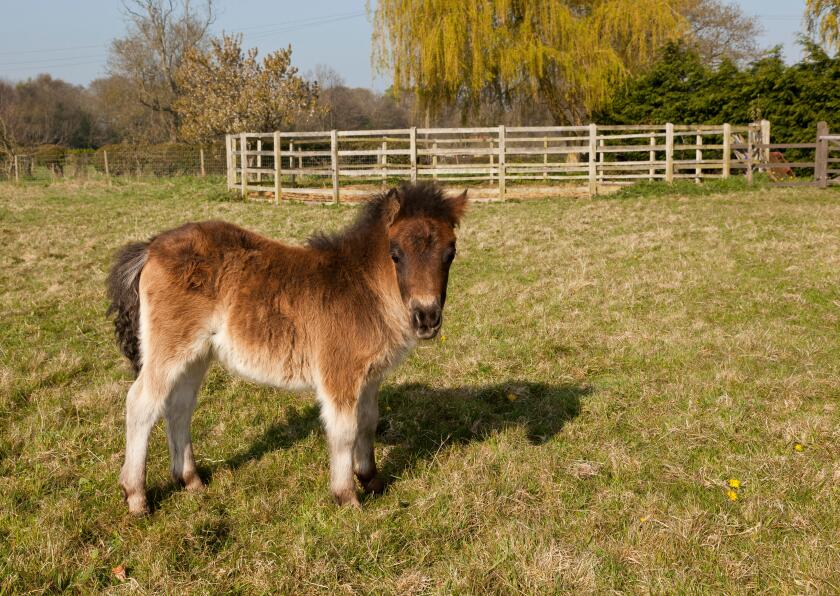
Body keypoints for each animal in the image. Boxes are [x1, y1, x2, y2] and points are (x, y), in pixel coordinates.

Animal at [106, 182, 467, 514]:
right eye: (396, 254)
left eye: (450, 253)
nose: (426, 317)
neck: (364, 289)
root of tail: (151, 247)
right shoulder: (339, 374)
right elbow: (344, 431)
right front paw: (347, 498)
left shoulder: (370, 377)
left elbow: (368, 422)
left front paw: (372, 481)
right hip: (169, 347)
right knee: (141, 404)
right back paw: (136, 498)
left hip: (196, 355)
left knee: (179, 407)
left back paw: (191, 480)